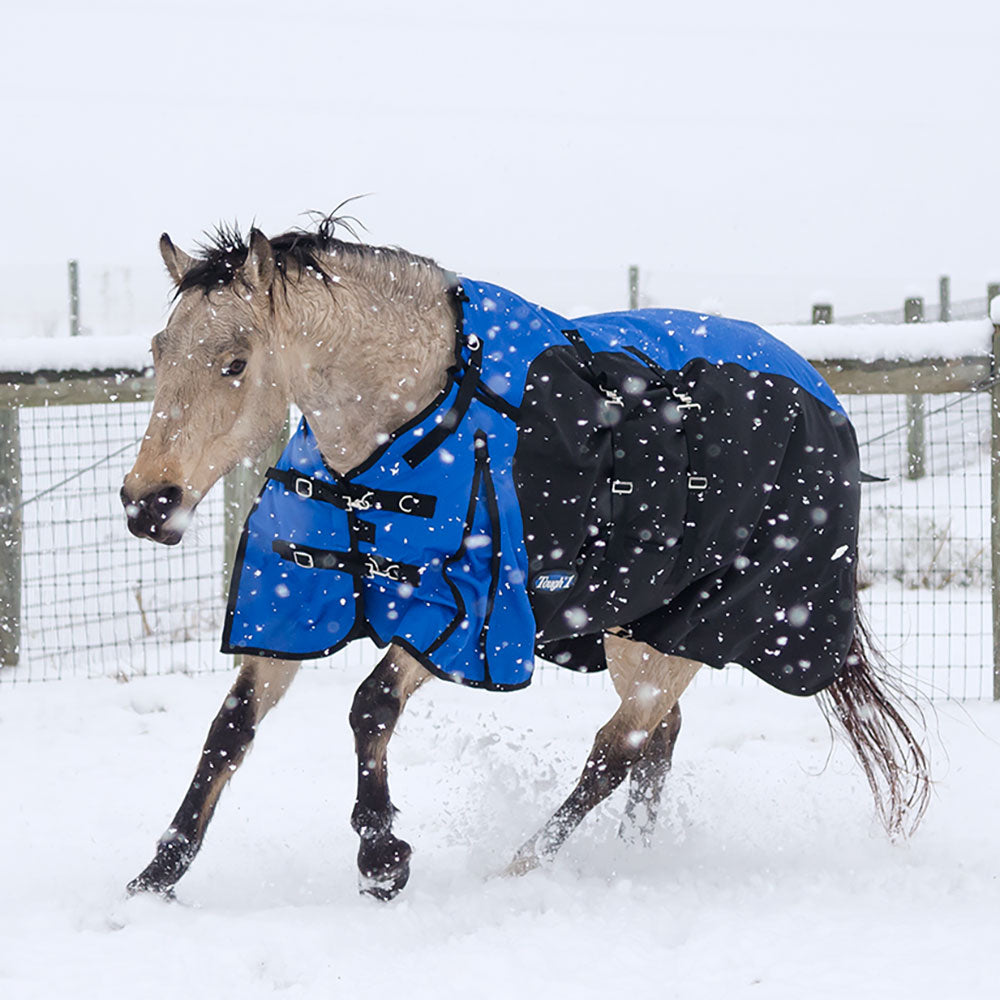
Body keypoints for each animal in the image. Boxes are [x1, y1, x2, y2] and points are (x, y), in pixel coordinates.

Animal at [123, 215, 928, 904]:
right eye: (159, 353)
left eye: (234, 363)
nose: (147, 504)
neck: (414, 414)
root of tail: (818, 387)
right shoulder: (296, 593)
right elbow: (231, 728)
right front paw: (158, 873)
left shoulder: (464, 607)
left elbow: (370, 706)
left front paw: (382, 860)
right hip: (635, 627)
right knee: (655, 740)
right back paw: (634, 855)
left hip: (685, 632)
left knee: (617, 748)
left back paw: (522, 865)